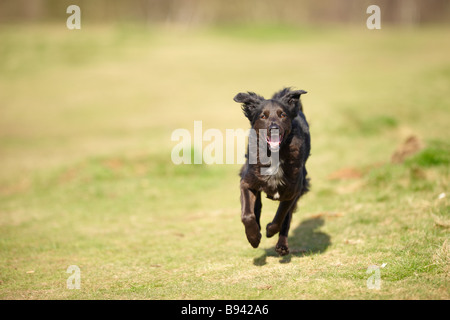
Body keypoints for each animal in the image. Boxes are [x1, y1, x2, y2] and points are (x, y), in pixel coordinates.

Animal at [232, 88, 310, 258]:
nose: (274, 129)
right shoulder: (246, 182)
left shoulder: (292, 191)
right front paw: (254, 237)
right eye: (263, 116)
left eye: (282, 115)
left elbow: (281, 216)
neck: (274, 155)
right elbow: (247, 215)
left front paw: (269, 230)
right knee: (256, 207)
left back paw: (281, 246)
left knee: (287, 218)